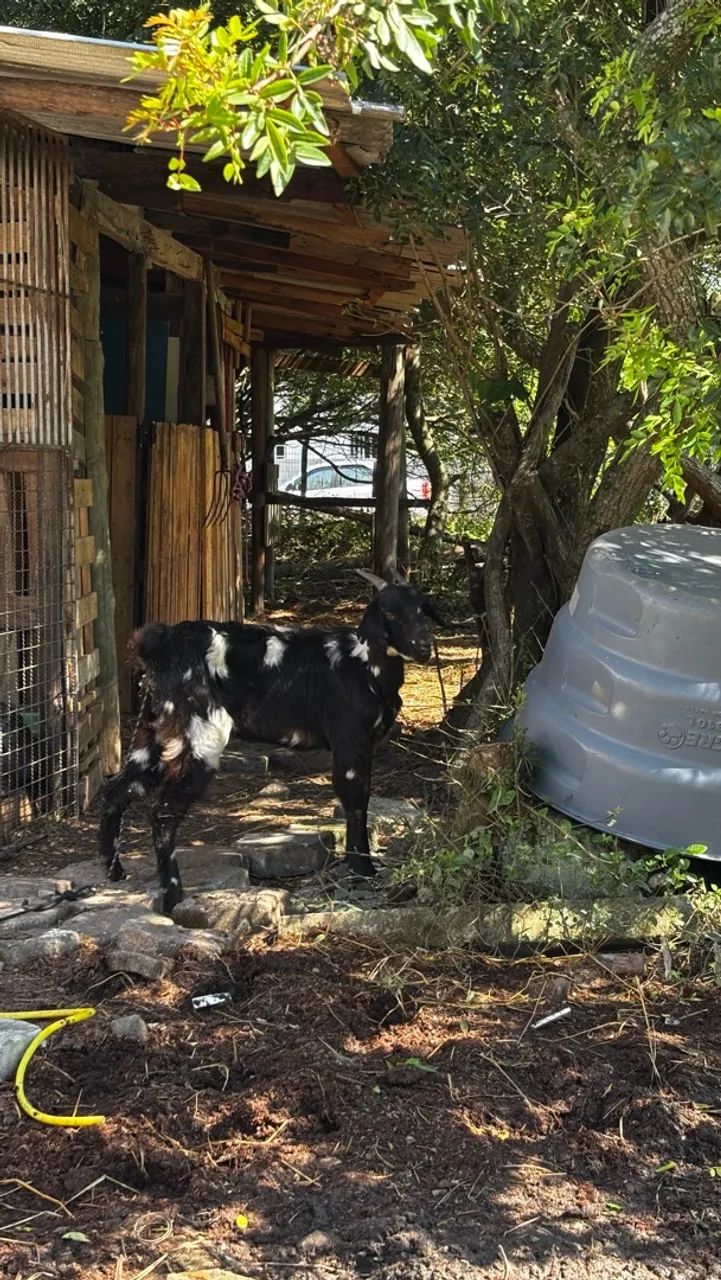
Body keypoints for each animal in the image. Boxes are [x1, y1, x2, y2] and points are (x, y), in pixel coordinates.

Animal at [99, 571, 440, 914]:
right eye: (390, 613)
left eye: (423, 609)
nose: (423, 648)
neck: (363, 663)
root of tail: (158, 646)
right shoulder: (349, 741)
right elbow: (355, 802)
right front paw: (362, 871)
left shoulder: (364, 747)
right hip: (198, 736)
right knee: (163, 813)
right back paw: (172, 896)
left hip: (153, 733)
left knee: (117, 790)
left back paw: (114, 871)